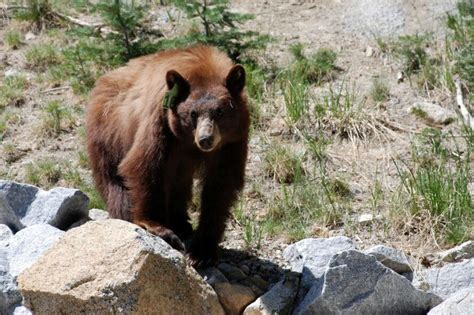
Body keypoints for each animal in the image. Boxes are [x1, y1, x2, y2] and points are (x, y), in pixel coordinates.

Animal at [85, 45, 250, 268]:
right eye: (193, 113)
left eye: (220, 111)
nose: (205, 139)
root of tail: (102, 81)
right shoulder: (160, 120)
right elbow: (144, 165)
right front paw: (158, 227)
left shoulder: (231, 142)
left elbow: (221, 184)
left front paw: (203, 250)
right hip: (108, 135)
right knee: (115, 183)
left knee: (178, 184)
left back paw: (181, 223)